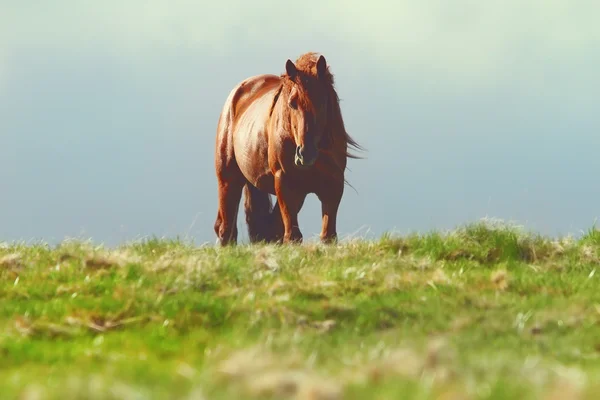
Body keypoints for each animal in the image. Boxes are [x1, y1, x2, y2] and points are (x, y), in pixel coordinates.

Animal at [213, 52, 364, 247]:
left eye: (322, 102)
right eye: (292, 103)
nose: (305, 154)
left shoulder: (333, 186)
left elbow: (328, 236)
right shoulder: (285, 183)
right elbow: (293, 236)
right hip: (228, 178)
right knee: (226, 227)